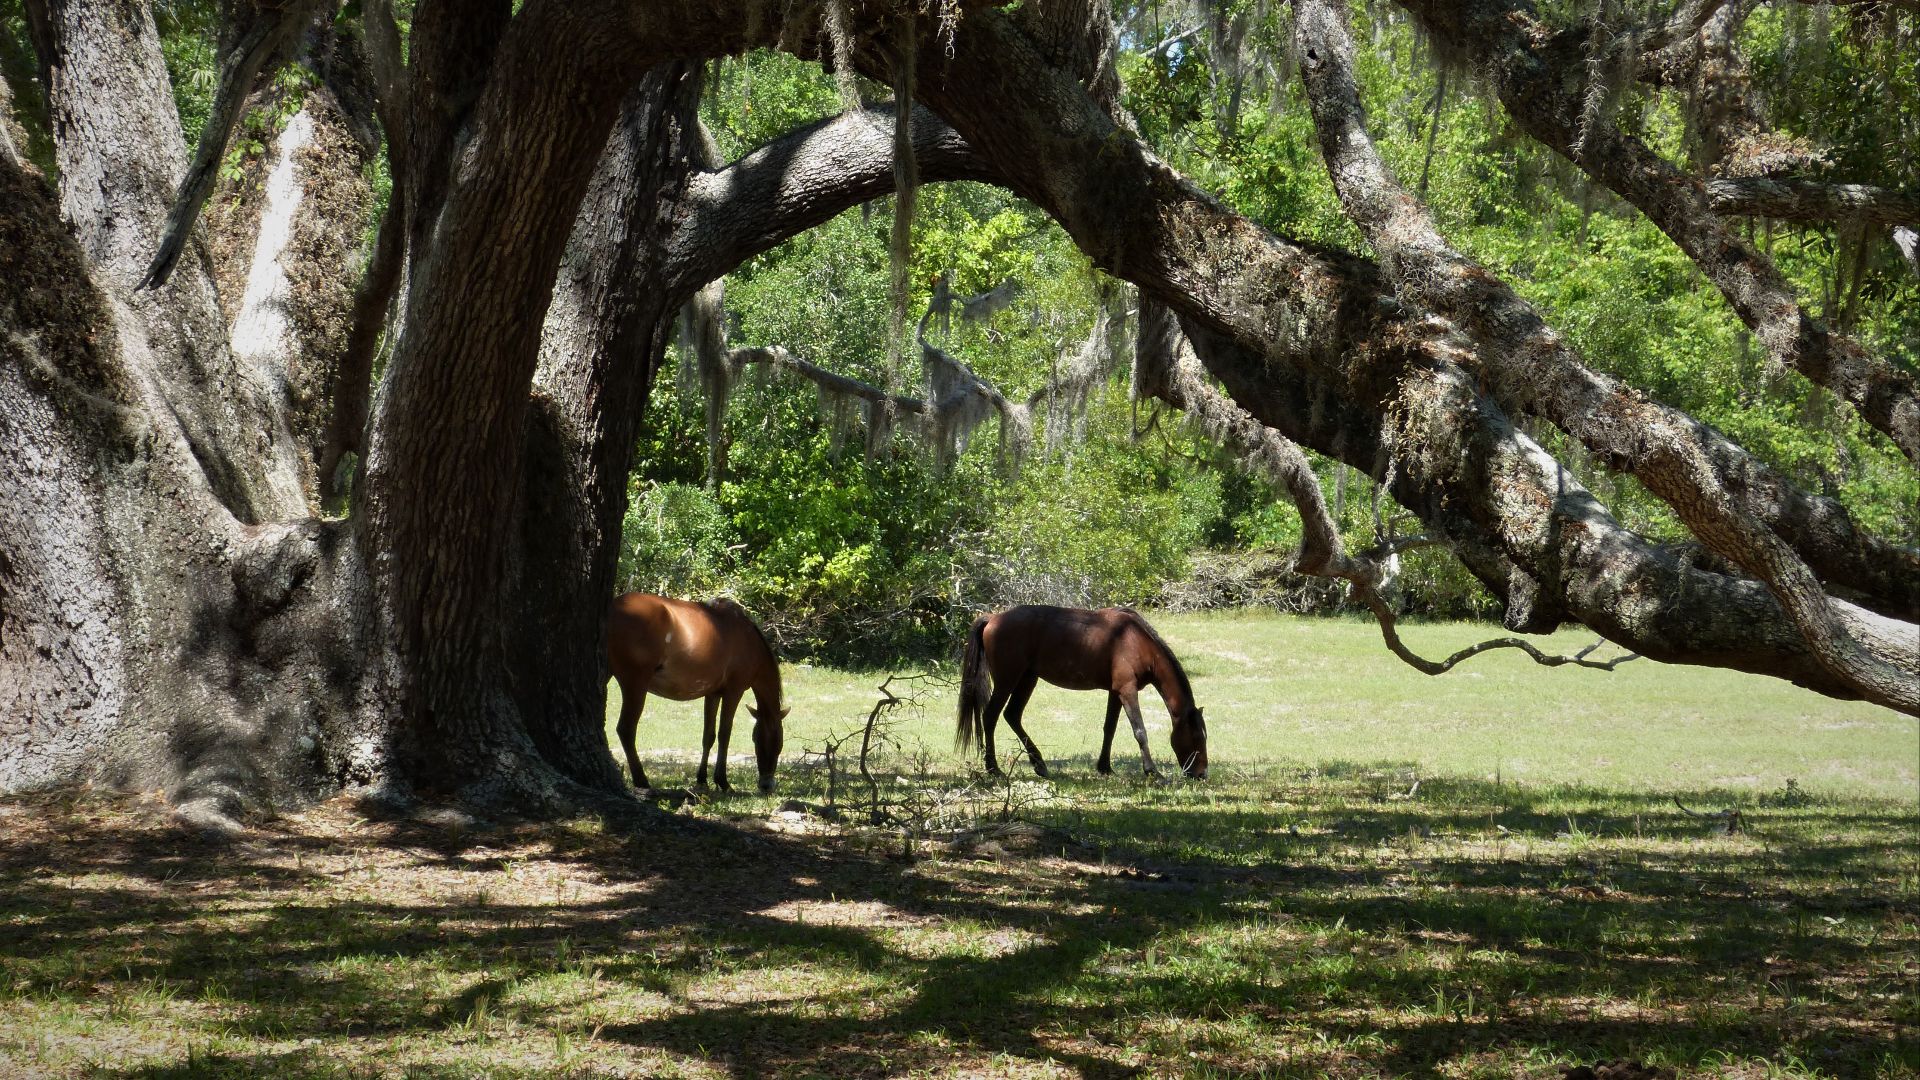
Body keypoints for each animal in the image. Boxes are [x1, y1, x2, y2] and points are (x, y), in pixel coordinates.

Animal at [607, 593, 787, 794]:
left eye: (779, 743)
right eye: (766, 741)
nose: (767, 785)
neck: (747, 638)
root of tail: (613, 609)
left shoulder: (713, 693)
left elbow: (708, 736)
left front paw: (702, 779)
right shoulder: (733, 692)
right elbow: (725, 734)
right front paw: (723, 782)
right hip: (635, 685)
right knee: (626, 730)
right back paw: (642, 780)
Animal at [956, 605, 1207, 780]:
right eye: (1197, 737)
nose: (1202, 774)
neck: (1137, 641)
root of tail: (993, 618)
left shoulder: (1115, 692)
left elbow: (1109, 728)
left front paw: (1105, 767)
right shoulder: (1127, 690)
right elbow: (1140, 731)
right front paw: (1153, 771)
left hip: (1027, 679)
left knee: (1012, 716)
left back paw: (1039, 765)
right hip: (1007, 681)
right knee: (990, 716)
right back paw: (993, 768)